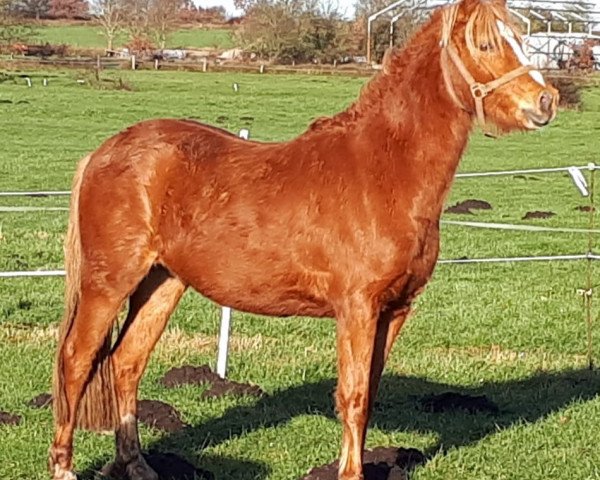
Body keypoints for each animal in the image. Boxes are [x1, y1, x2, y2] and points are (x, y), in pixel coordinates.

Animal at [49, 0, 560, 480]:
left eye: (520, 38)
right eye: (487, 44)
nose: (546, 100)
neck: (384, 170)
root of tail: (104, 152)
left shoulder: (395, 310)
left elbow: (369, 394)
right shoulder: (357, 308)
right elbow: (353, 395)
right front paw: (349, 473)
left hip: (163, 283)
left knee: (126, 363)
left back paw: (136, 465)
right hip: (109, 282)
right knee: (76, 360)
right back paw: (64, 466)